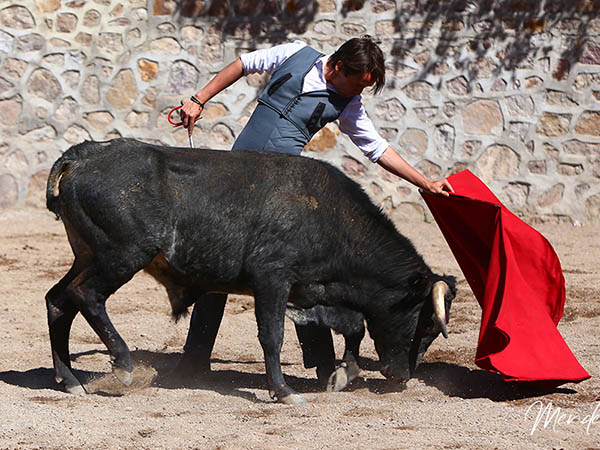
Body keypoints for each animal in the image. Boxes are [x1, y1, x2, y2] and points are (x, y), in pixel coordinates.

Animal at [44, 138, 454, 404]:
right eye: (427, 325)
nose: (402, 377)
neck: (333, 219)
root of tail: (86, 154)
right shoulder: (272, 279)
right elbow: (272, 336)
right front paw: (285, 391)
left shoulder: (318, 291)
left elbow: (353, 327)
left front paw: (341, 375)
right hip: (121, 256)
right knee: (85, 296)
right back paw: (124, 366)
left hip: (88, 256)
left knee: (58, 302)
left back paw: (70, 381)